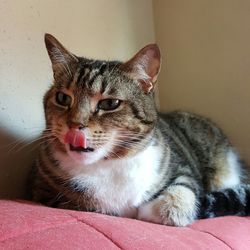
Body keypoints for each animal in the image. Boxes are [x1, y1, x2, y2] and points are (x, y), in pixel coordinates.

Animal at [28, 33, 249, 227]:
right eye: (63, 98)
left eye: (110, 103)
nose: (75, 124)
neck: (109, 165)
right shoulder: (43, 190)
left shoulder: (182, 169)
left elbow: (182, 190)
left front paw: (159, 211)